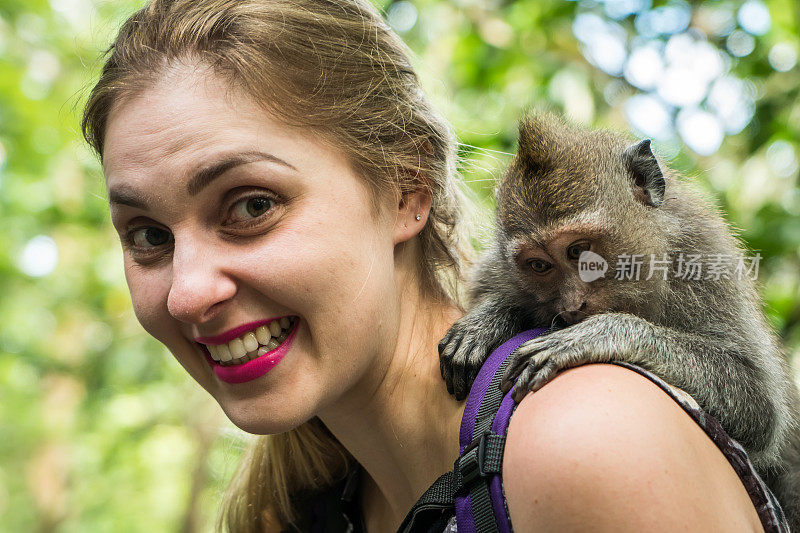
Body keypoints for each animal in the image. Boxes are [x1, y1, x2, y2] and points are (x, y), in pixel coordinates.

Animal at [438, 114, 800, 524]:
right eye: (539, 266)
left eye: (579, 250)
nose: (573, 305)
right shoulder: (501, 267)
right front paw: (491, 318)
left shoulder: (703, 261)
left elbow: (758, 405)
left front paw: (596, 334)